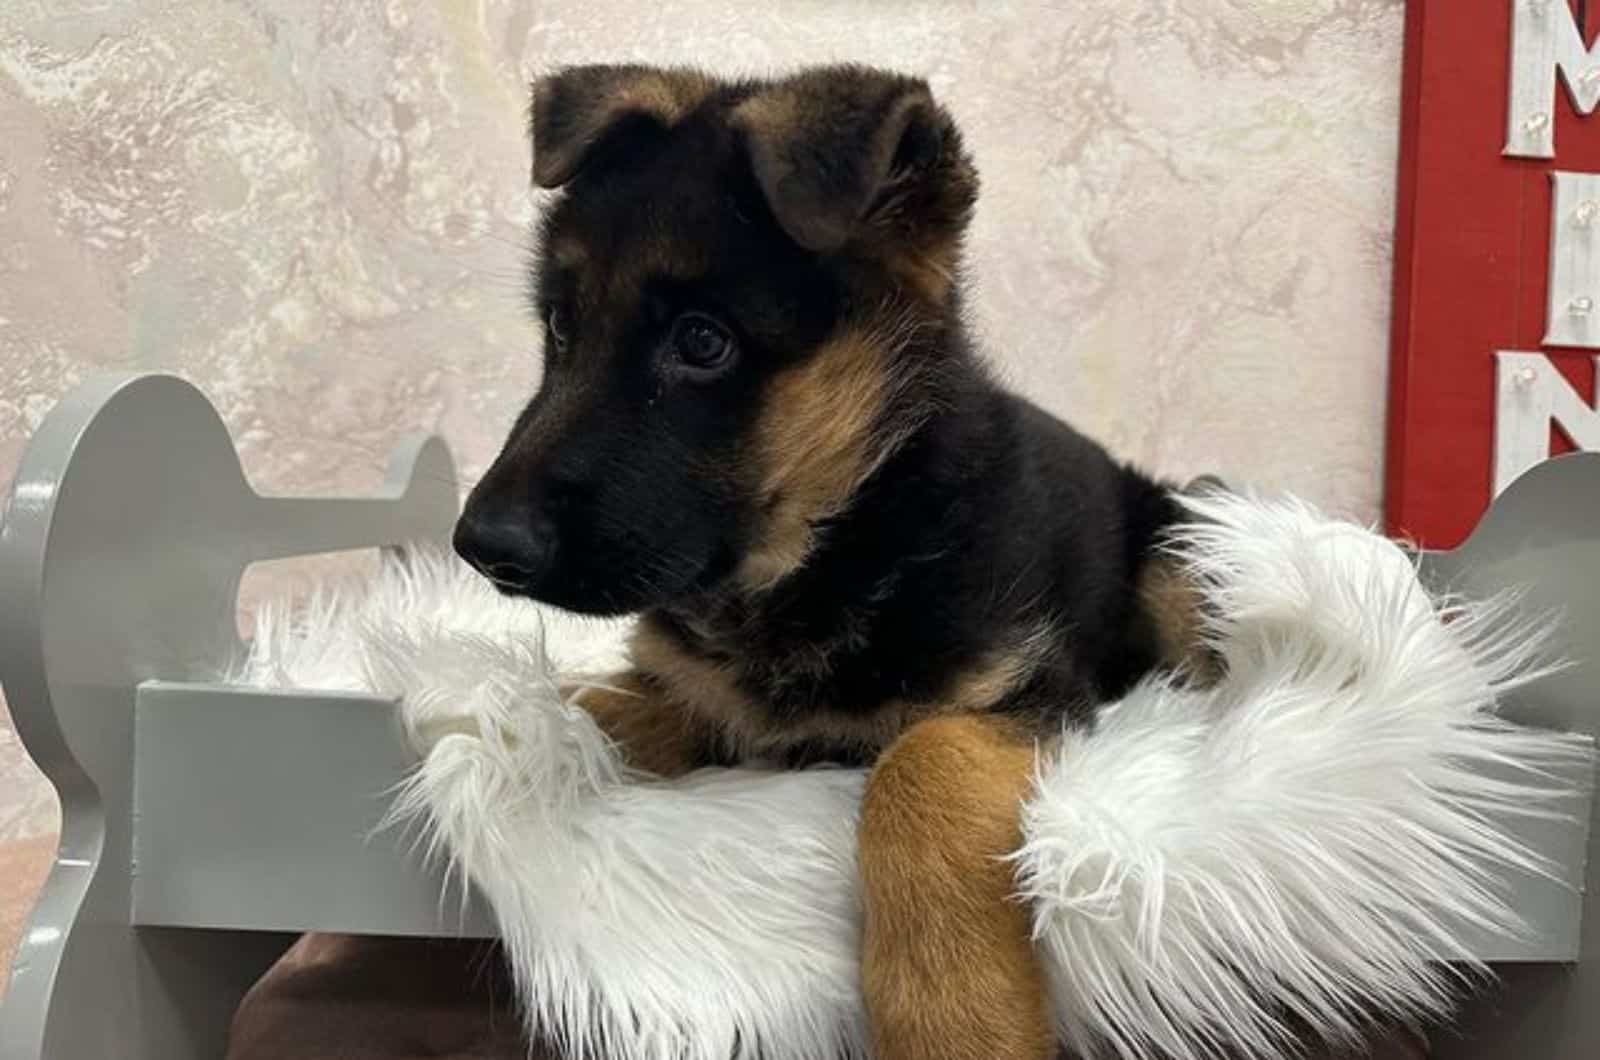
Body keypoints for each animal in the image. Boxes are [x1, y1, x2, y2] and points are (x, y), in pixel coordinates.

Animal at [451, 66, 1203, 1060]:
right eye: (561, 329)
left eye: (702, 341)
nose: (480, 545)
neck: (834, 543)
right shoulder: (701, 694)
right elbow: (605, 709)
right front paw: (531, 748)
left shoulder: (1029, 693)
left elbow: (923, 760)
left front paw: (955, 1016)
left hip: (1178, 552)